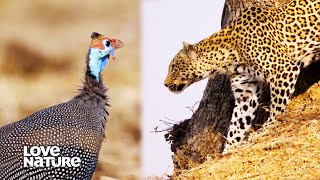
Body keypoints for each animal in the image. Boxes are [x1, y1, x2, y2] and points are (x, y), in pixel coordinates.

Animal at [164, 0, 320, 154]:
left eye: (173, 67)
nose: (165, 84)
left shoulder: (283, 69)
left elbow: (277, 107)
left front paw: (268, 127)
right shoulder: (246, 92)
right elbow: (237, 124)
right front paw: (227, 151)